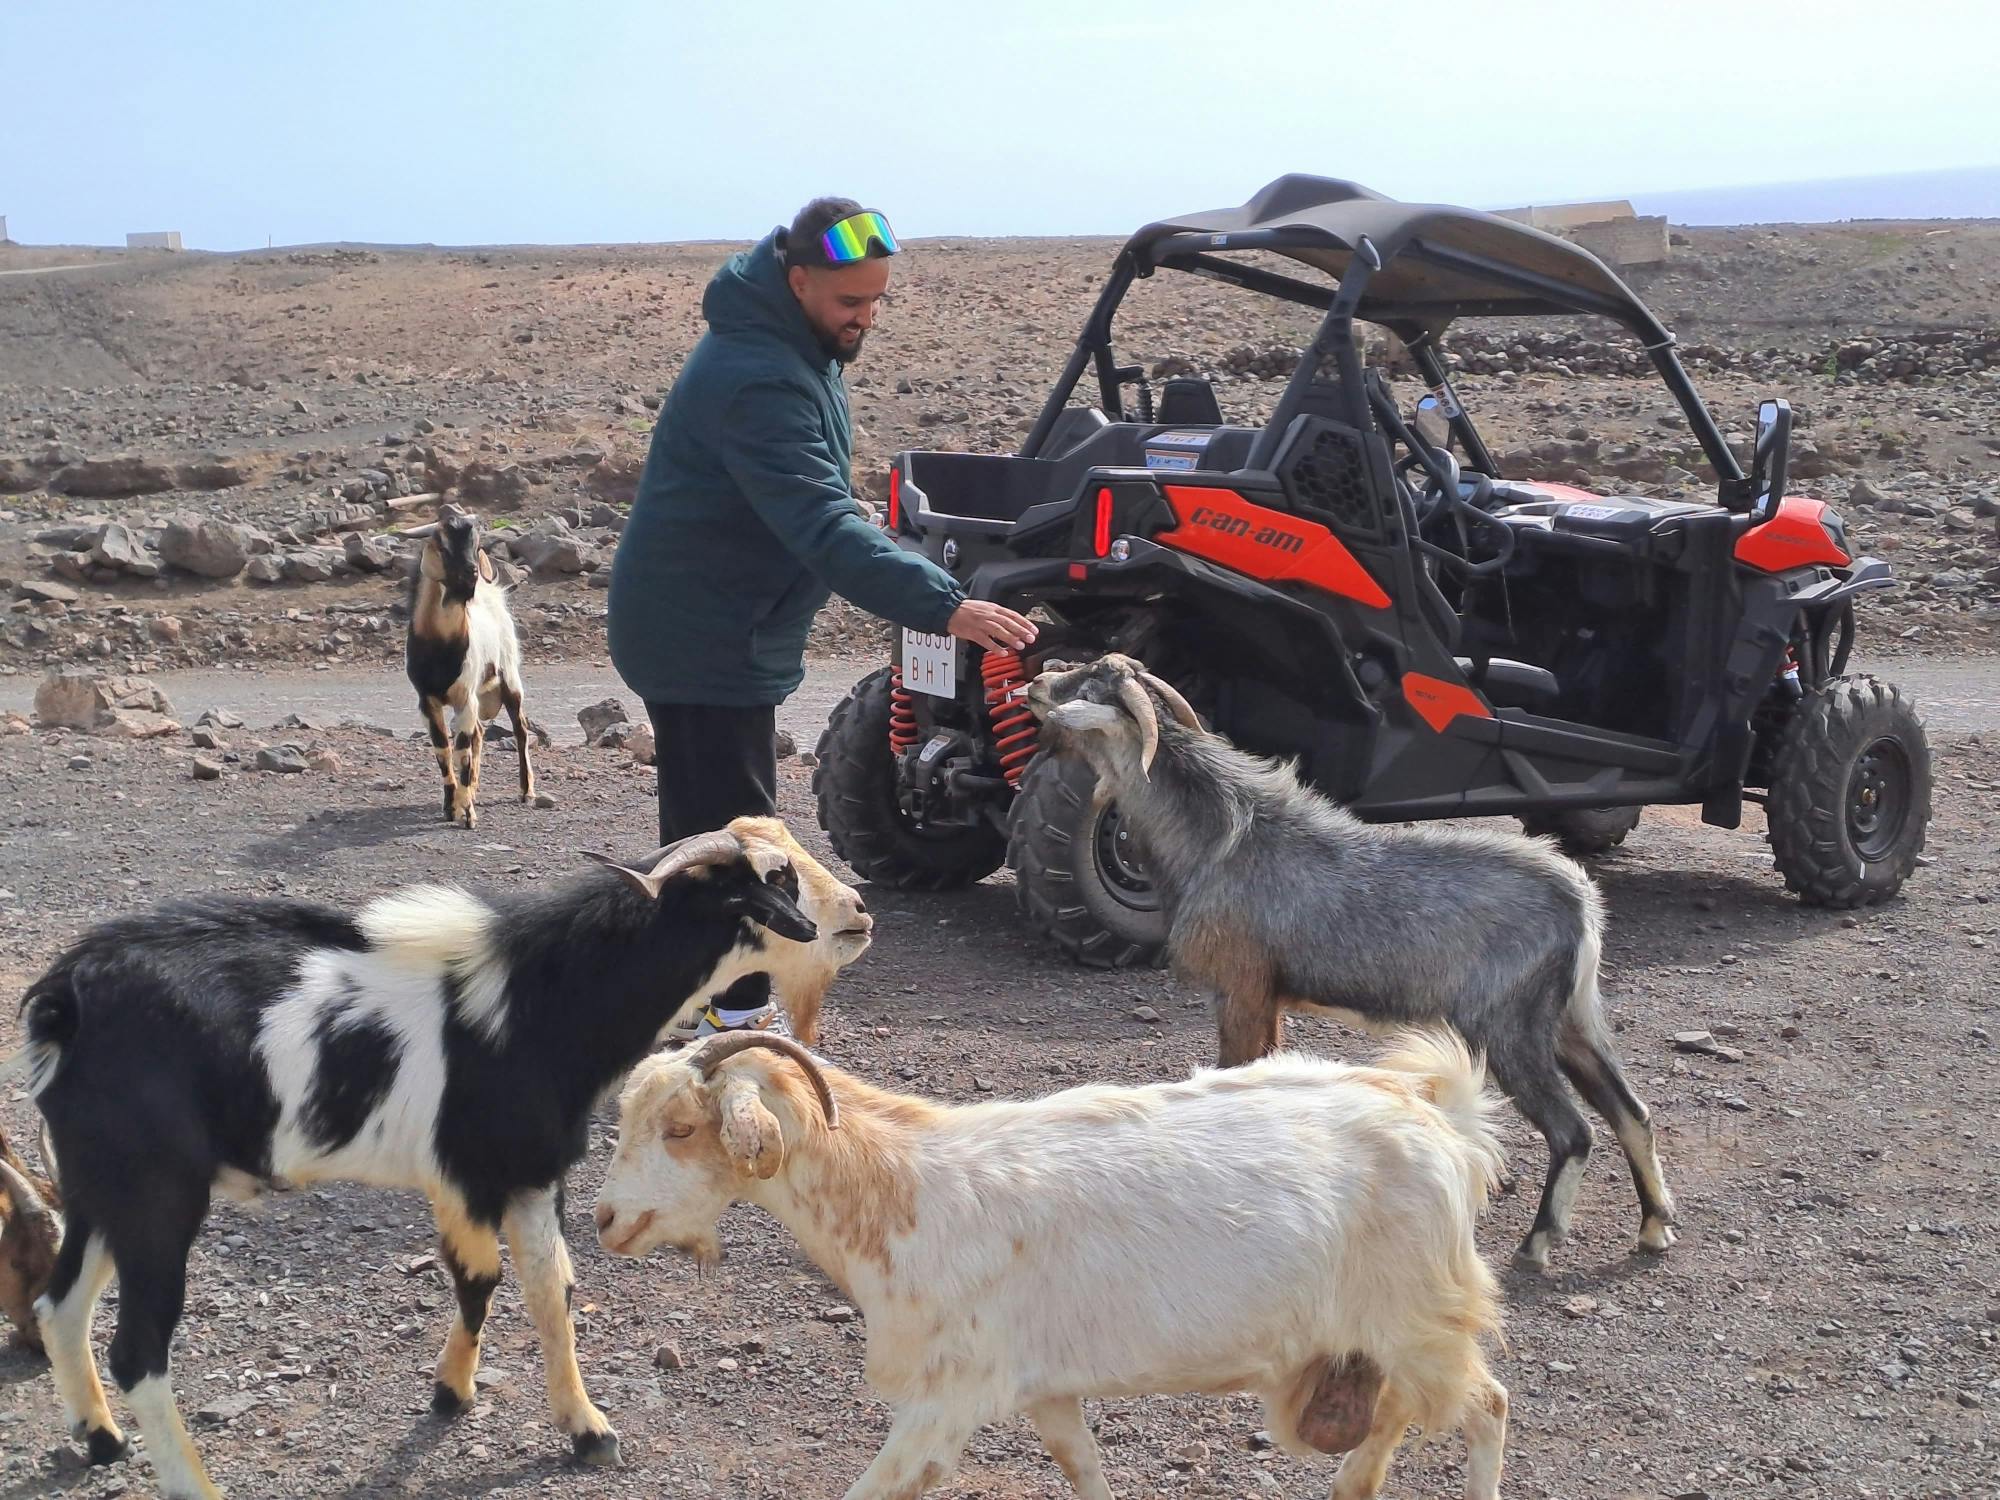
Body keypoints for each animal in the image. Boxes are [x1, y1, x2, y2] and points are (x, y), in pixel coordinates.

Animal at [404, 512, 540, 828]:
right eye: (442, 544)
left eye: (476, 543)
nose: (471, 573)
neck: (440, 646)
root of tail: (492, 594)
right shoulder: (426, 700)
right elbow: (443, 749)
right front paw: (451, 806)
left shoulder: (464, 696)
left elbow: (462, 749)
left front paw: (467, 814)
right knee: (479, 732)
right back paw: (474, 789)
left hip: (509, 678)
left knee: (520, 729)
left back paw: (526, 792)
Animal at [600, 1032, 1504, 1500]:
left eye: (681, 1128)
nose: (607, 1219)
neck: (906, 1191)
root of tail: (1441, 1120)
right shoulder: (1044, 1385)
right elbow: (1082, 1462)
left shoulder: (947, 1397)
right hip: (1378, 1341)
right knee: (1391, 1422)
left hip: (1422, 1320)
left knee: (1486, 1404)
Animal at [1032, 652, 1672, 1272]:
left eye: (1088, 682)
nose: (1038, 679)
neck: (1219, 841)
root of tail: (1581, 903)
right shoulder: (1267, 997)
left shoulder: (1242, 987)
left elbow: (1236, 1070)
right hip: (1569, 1020)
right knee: (1631, 1112)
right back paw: (1654, 1229)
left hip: (1509, 1026)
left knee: (1575, 1130)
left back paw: (1537, 1245)